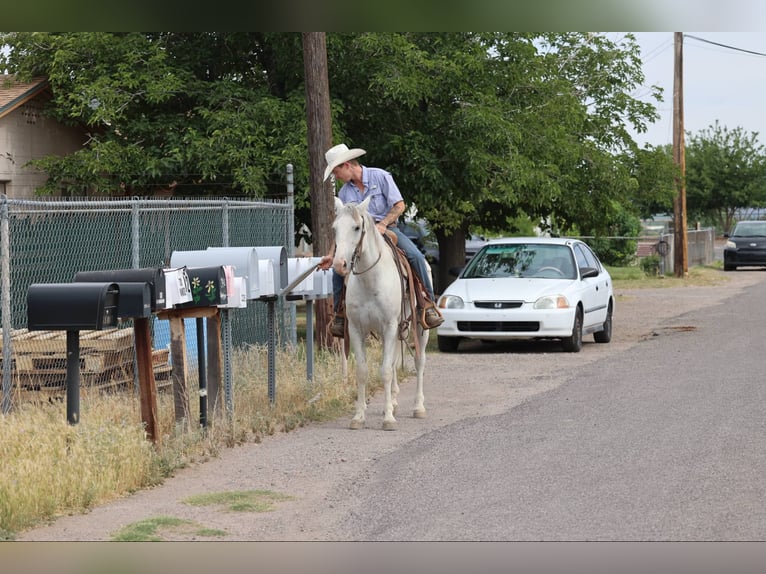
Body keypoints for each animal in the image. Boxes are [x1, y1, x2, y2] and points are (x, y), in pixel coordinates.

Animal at [331, 196, 429, 430]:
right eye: (334, 228)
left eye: (357, 227)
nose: (339, 264)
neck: (370, 279)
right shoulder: (356, 329)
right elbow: (363, 371)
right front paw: (359, 416)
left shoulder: (390, 326)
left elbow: (384, 371)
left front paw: (388, 420)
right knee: (393, 363)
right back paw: (392, 403)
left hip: (420, 329)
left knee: (419, 362)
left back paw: (418, 407)